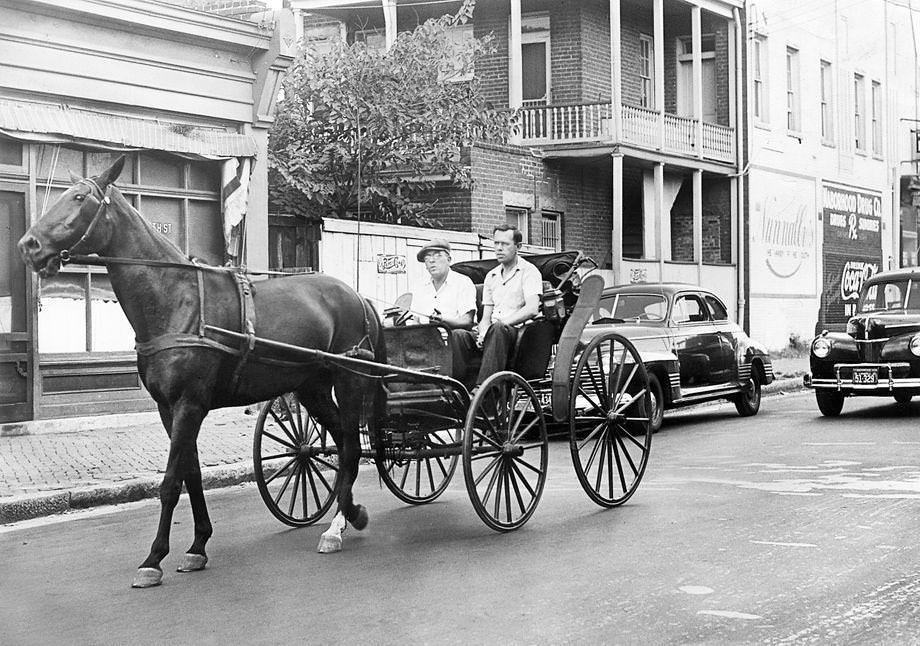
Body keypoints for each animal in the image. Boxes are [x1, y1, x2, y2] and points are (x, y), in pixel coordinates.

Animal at [18, 158, 384, 592]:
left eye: (78, 198)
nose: (28, 245)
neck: (175, 298)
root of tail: (355, 295)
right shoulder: (170, 409)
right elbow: (191, 476)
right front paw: (197, 546)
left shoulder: (189, 405)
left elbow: (171, 482)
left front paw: (154, 559)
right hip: (312, 389)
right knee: (340, 444)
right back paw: (347, 515)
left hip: (349, 381)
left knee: (351, 447)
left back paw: (339, 524)